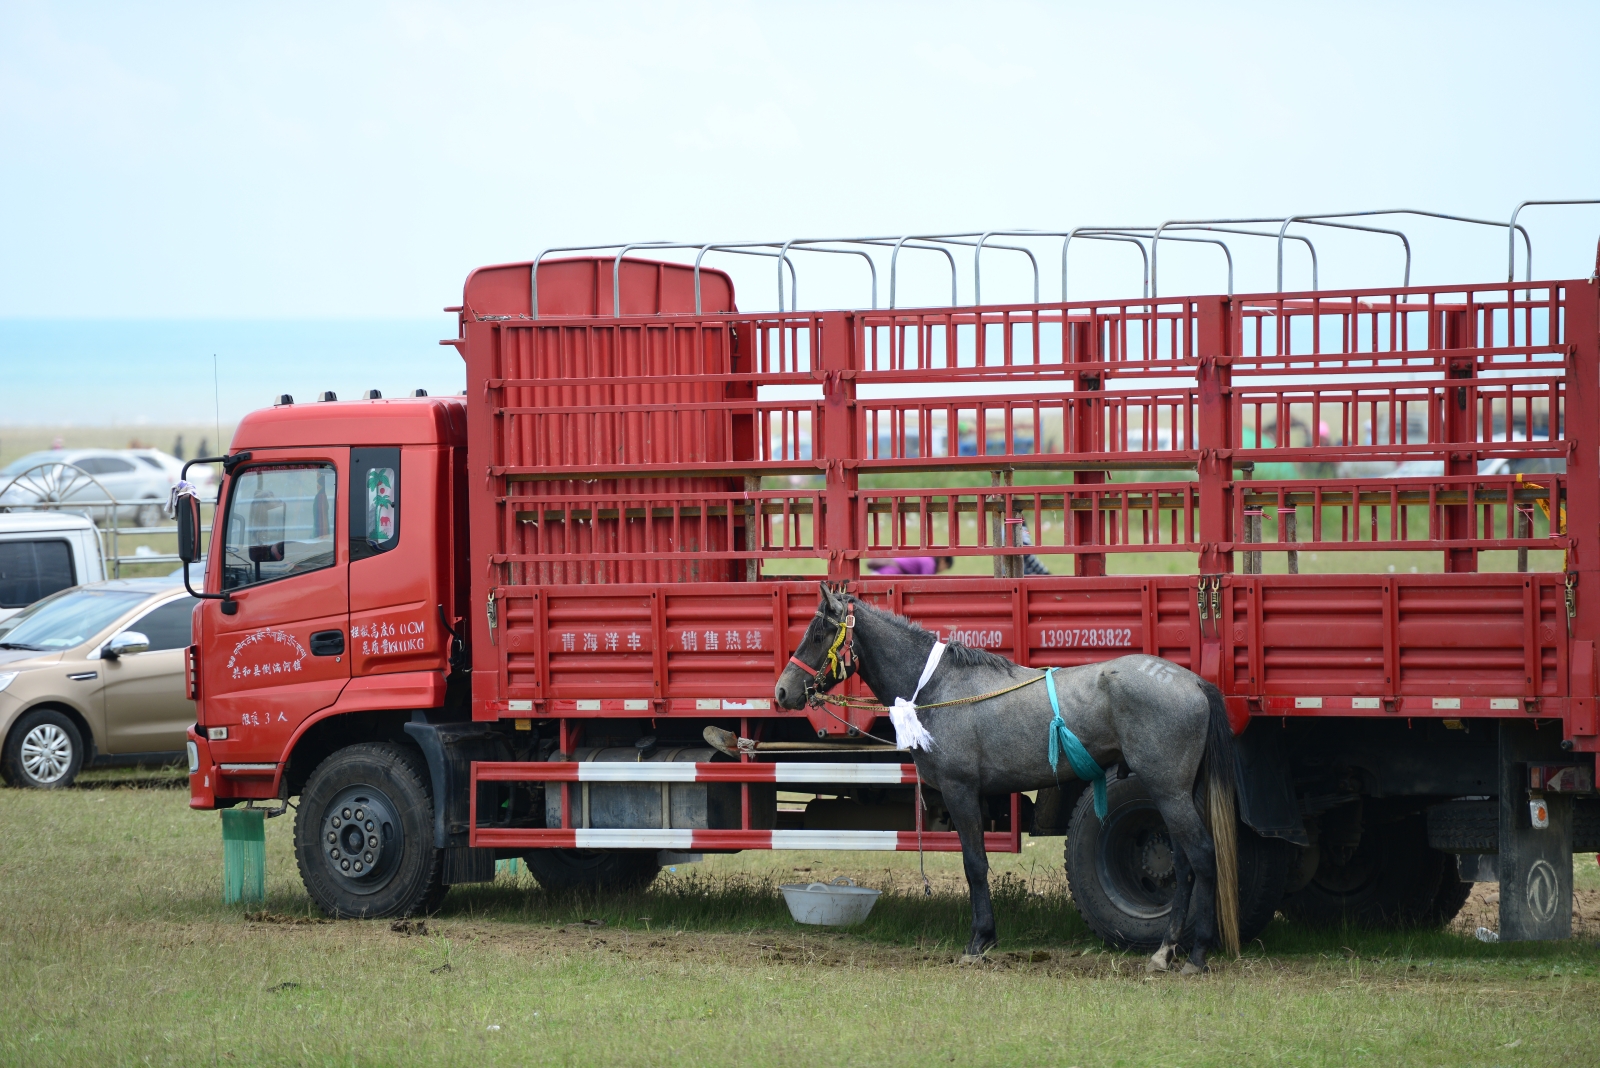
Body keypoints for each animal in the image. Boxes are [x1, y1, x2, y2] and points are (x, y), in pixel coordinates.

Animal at [771, 585, 1235, 978]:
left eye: (817, 634)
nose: (781, 691)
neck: (940, 686)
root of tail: (1193, 681)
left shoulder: (961, 792)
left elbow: (975, 865)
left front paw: (980, 941)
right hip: (1178, 794)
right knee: (1184, 865)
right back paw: (1166, 950)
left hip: (1169, 792)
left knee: (1201, 856)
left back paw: (1194, 954)